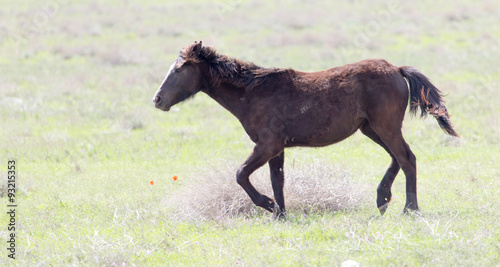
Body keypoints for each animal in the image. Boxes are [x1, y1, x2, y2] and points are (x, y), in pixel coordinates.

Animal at [151, 41, 458, 218]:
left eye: (179, 69)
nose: (158, 100)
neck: (253, 93)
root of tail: (396, 69)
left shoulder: (268, 145)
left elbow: (241, 174)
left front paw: (269, 205)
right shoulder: (276, 149)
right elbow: (277, 180)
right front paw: (280, 214)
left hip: (385, 127)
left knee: (407, 158)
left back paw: (409, 209)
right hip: (372, 129)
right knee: (398, 157)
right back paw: (382, 198)